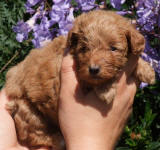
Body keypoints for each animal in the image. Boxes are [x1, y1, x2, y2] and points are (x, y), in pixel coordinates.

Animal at [5, 9, 155, 149]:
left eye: (113, 48)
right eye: (84, 48)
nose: (93, 69)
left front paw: (147, 70)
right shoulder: (77, 77)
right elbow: (94, 80)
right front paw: (106, 90)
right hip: (29, 112)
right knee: (33, 134)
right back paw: (58, 140)